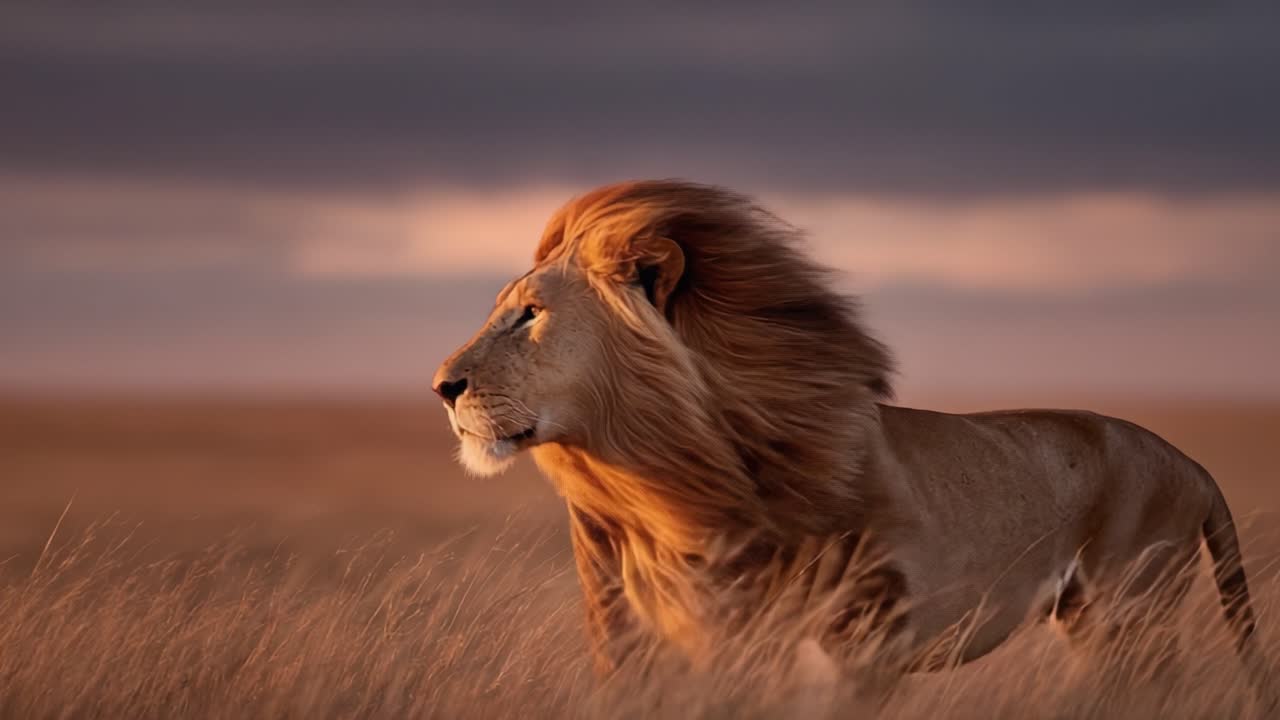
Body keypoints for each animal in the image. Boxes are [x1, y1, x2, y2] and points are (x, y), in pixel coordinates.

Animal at [432, 180, 1273, 703]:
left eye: (531, 313)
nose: (442, 386)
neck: (658, 490)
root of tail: (1192, 462)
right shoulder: (646, 643)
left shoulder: (857, 639)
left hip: (1128, 615)